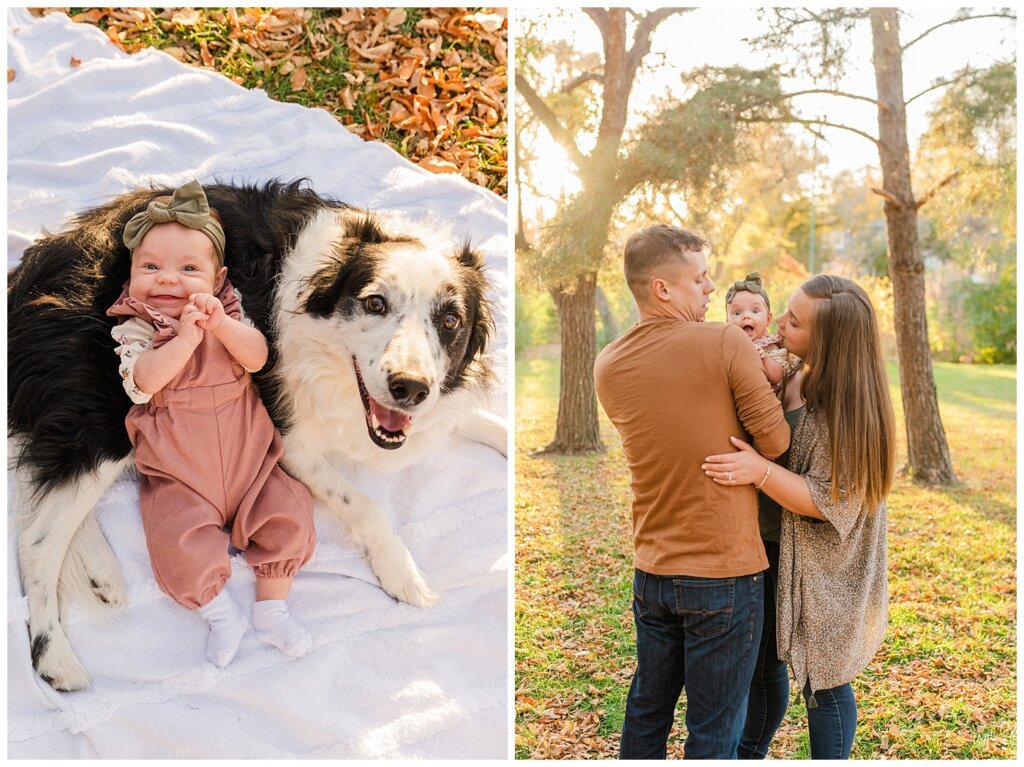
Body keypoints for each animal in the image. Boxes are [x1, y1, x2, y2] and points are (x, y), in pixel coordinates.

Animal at [8, 179, 503, 688]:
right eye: (375, 303)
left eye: (450, 321)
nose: (410, 388)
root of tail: (38, 264)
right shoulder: (289, 434)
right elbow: (365, 504)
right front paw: (402, 571)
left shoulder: (440, 400)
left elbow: (494, 425)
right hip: (106, 415)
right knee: (37, 539)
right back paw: (55, 656)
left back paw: (98, 572)